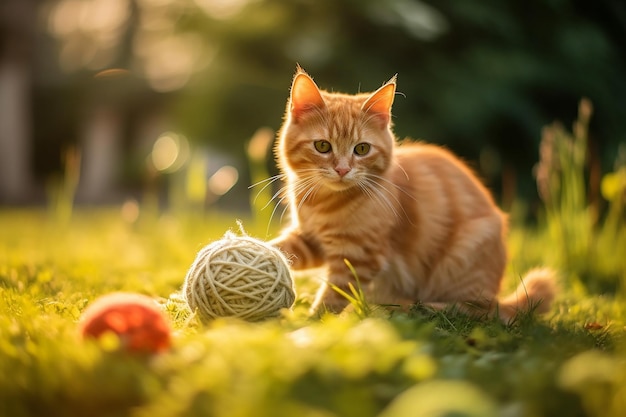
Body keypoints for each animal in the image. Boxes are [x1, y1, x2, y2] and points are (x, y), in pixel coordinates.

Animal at [270, 68, 552, 322]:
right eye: (322, 146)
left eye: (361, 149)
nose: (342, 169)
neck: (322, 202)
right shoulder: (312, 239)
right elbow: (285, 250)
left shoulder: (359, 258)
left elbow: (333, 297)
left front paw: (307, 324)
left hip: (469, 251)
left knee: (474, 310)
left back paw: (417, 307)